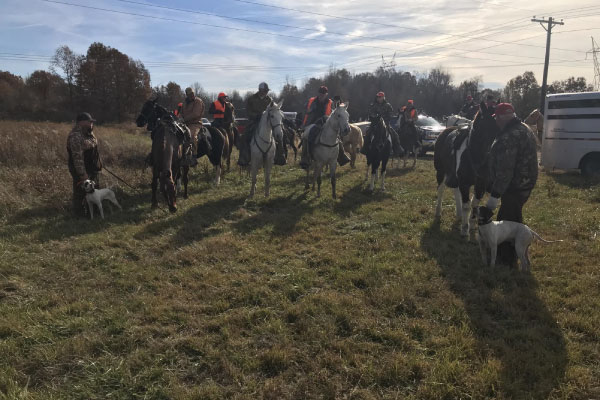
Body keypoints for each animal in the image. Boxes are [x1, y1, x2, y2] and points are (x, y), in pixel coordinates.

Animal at [434, 101, 500, 236]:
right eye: (483, 127)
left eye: (497, 128)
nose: (490, 153)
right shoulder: (464, 183)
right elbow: (467, 205)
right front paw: (465, 228)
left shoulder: (480, 184)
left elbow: (475, 204)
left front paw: (473, 224)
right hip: (441, 172)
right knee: (441, 190)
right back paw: (438, 211)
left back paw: (459, 214)